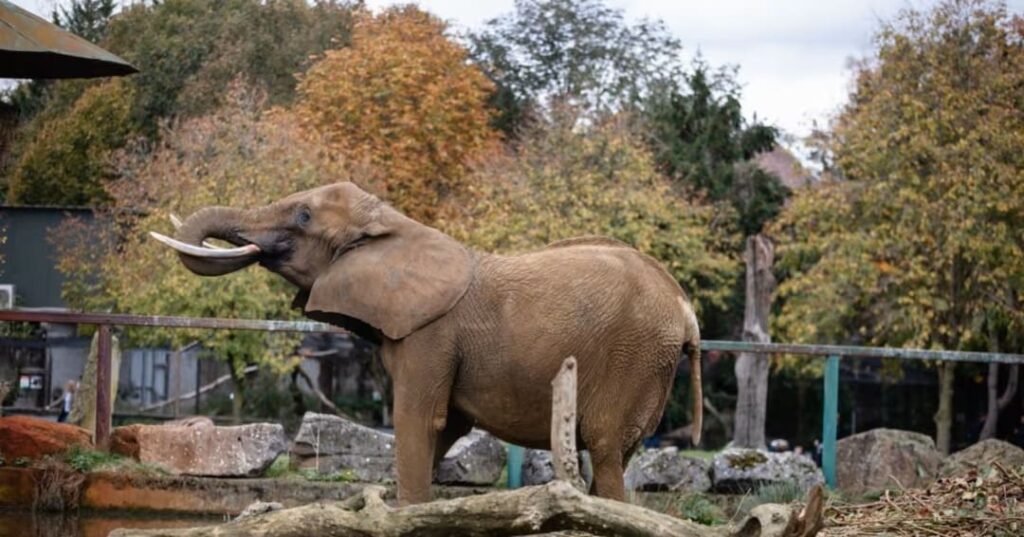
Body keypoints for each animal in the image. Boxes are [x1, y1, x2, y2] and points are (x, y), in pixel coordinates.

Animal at [150, 182, 702, 504]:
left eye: (304, 217)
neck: (395, 224)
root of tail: (685, 307)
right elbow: (442, 433)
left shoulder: (430, 335)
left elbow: (418, 422)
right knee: (620, 455)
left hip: (632, 356)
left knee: (607, 454)